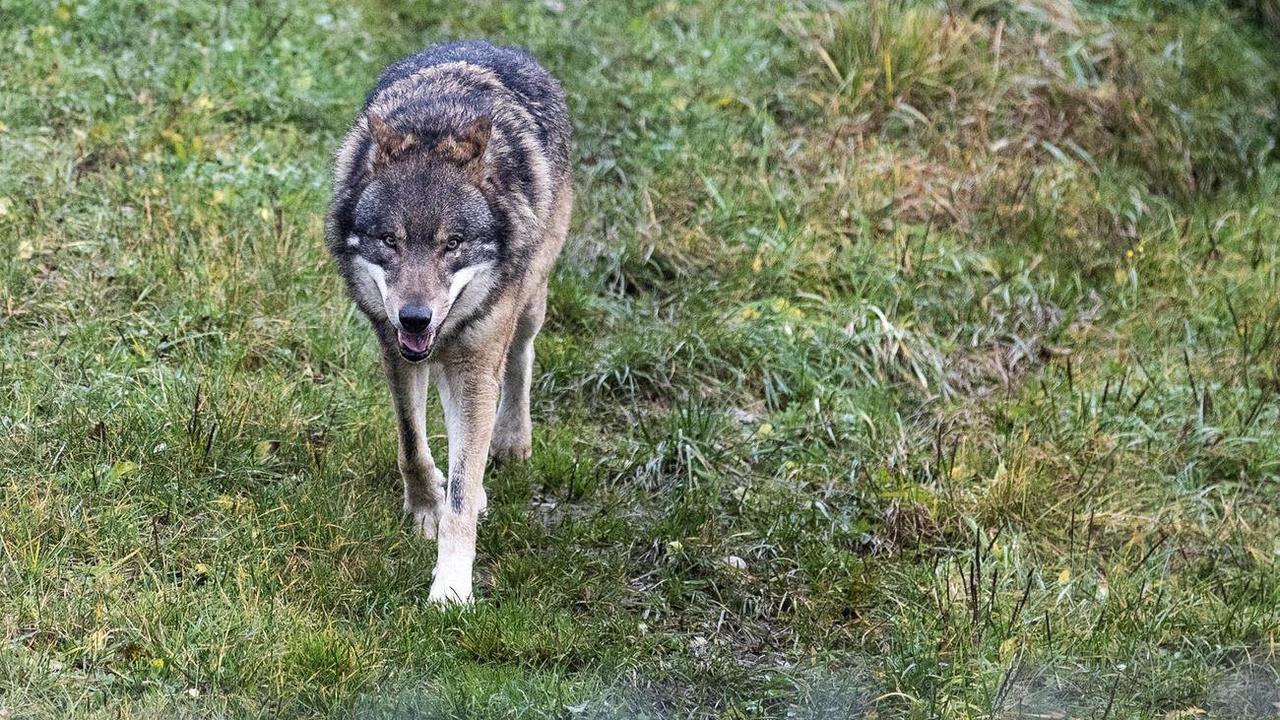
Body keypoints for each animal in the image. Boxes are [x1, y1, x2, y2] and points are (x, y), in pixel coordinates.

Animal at [327, 41, 573, 602]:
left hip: (527, 305)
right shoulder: (394, 349)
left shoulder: (476, 363)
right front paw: (425, 509)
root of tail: (493, 44)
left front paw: (453, 589)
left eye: (452, 243)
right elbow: (412, 445)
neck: (435, 124)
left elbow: (462, 489)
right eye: (390, 240)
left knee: (520, 359)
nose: (415, 317)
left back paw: (511, 441)